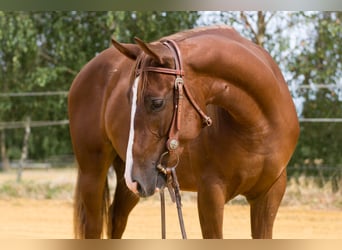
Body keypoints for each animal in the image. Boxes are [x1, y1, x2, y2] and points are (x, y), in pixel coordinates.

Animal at [68, 25, 298, 238]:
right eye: (128, 99)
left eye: (156, 102)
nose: (137, 178)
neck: (257, 128)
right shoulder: (210, 195)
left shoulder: (270, 194)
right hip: (96, 173)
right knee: (94, 226)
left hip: (129, 180)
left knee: (117, 219)